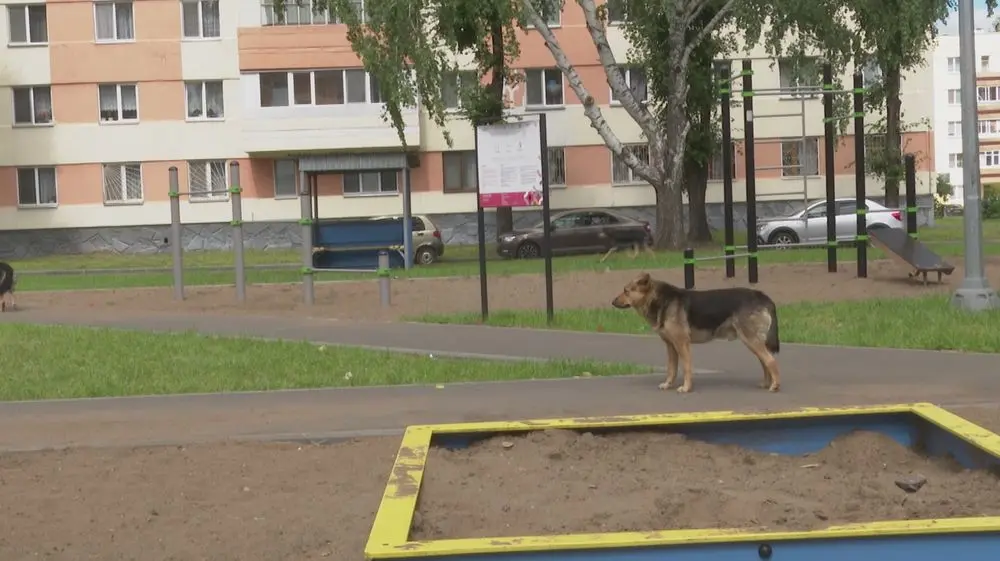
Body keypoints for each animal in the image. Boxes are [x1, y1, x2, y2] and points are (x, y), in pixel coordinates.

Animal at [608, 272, 780, 394]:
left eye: (626, 291)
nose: (612, 302)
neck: (659, 299)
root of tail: (762, 296)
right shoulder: (671, 346)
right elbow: (671, 369)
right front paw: (668, 384)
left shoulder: (682, 344)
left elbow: (686, 367)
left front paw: (686, 388)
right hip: (753, 341)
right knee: (765, 361)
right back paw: (767, 384)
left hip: (750, 340)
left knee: (771, 361)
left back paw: (775, 386)